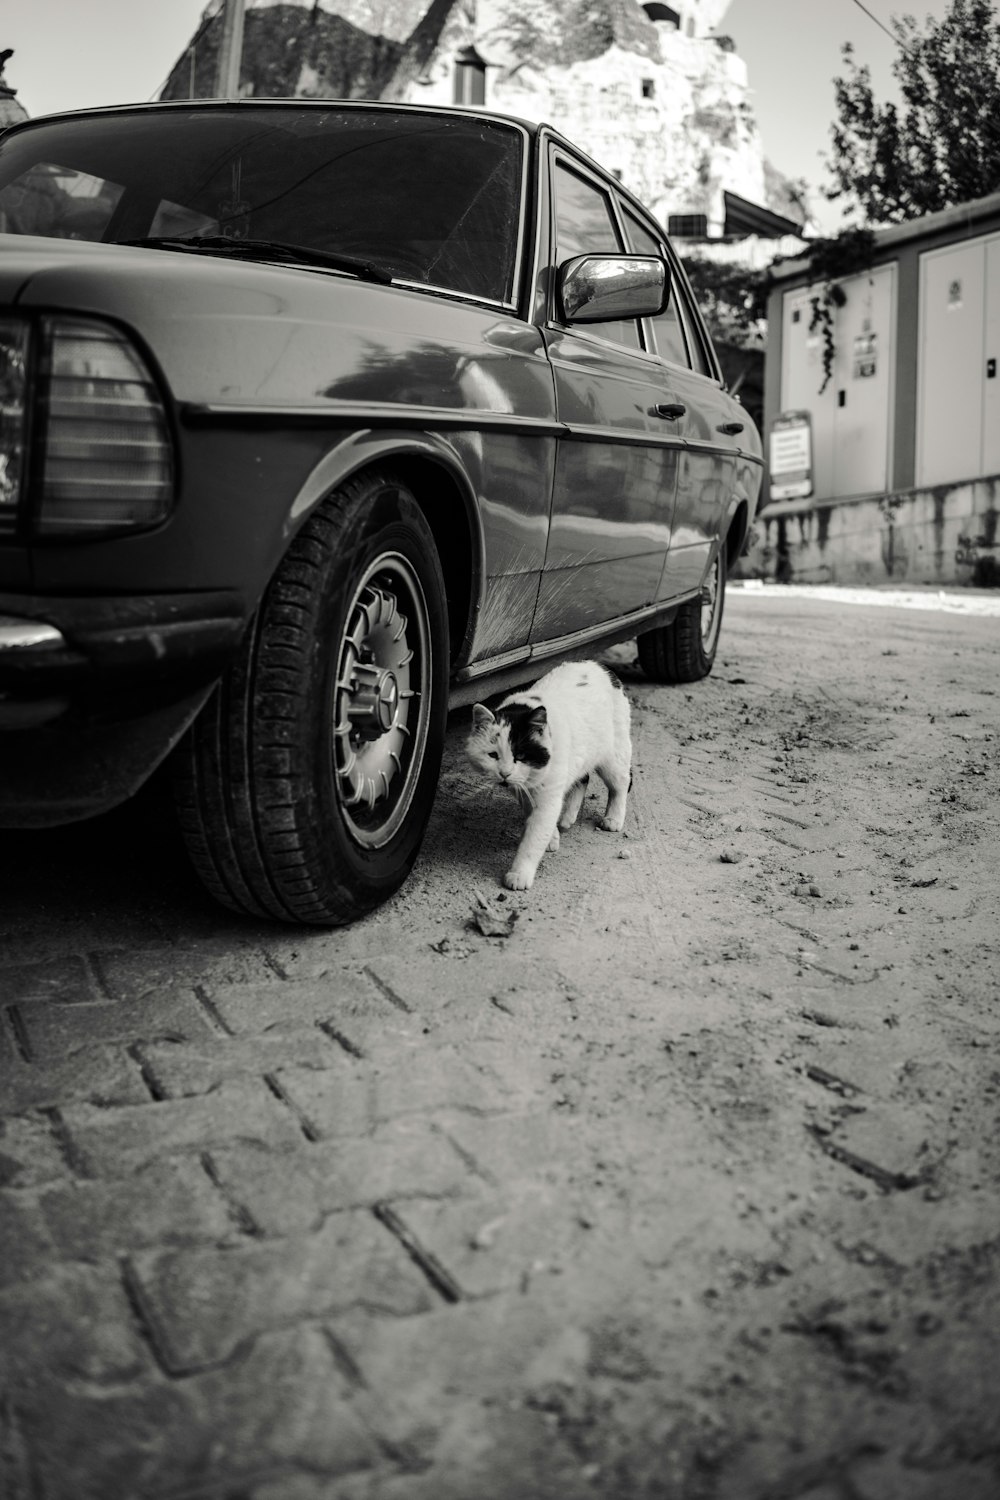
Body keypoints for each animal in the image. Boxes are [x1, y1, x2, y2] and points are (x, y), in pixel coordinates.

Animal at [467, 660, 632, 888]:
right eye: (493, 755)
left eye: (520, 755)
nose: (504, 773)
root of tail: (598, 665)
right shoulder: (526, 792)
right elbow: (536, 821)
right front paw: (552, 837)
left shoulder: (548, 794)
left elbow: (534, 837)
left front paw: (520, 874)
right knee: (583, 777)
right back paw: (568, 817)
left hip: (612, 755)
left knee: (621, 783)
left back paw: (613, 818)